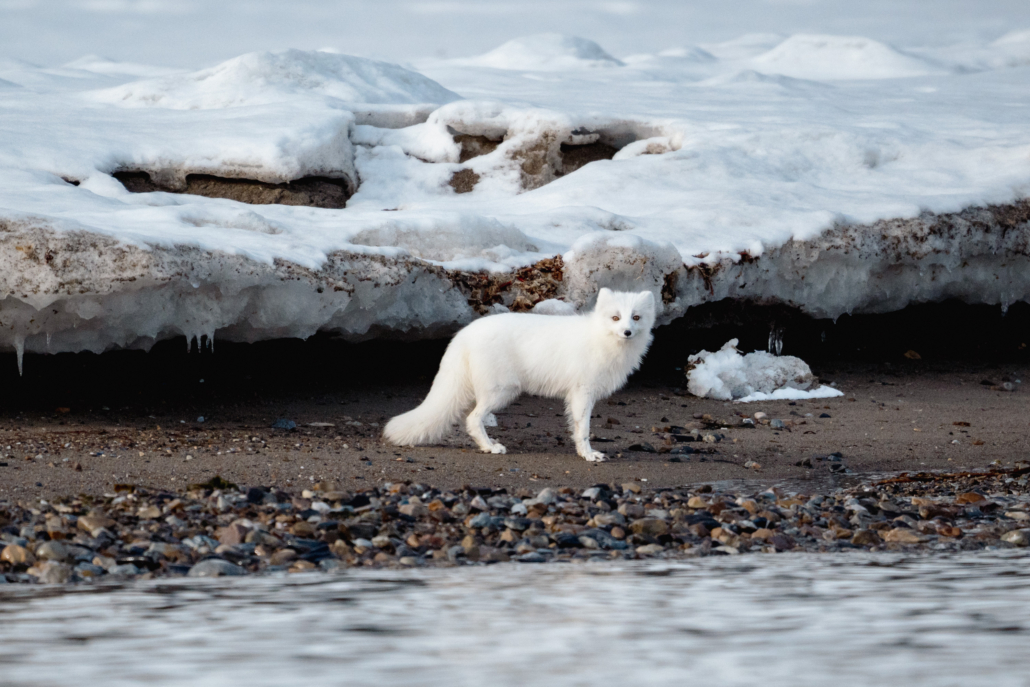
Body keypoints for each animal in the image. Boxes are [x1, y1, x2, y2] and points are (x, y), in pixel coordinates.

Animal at [383, 288, 656, 461]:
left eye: (635, 317)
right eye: (615, 317)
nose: (627, 332)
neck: (601, 338)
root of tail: (464, 334)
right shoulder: (582, 392)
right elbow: (583, 429)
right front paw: (588, 455)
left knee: (469, 418)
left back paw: (487, 444)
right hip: (502, 391)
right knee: (472, 419)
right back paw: (490, 448)